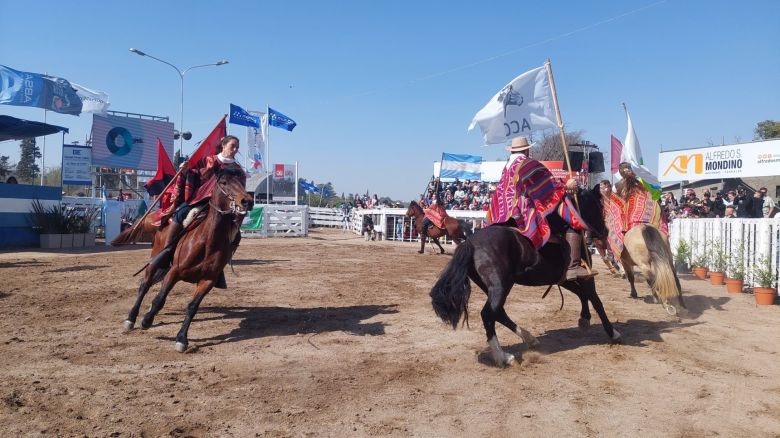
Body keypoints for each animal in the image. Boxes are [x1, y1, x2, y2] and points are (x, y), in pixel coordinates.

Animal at [114, 168, 253, 352]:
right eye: (224, 182)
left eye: (242, 181)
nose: (247, 201)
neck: (208, 241)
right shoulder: (174, 272)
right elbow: (159, 299)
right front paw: (146, 320)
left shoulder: (207, 280)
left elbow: (192, 307)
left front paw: (181, 338)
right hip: (156, 259)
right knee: (144, 285)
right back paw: (131, 318)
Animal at [426, 187, 620, 366]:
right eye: (598, 206)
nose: (604, 232)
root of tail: (470, 242)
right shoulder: (585, 276)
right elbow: (595, 300)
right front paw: (612, 332)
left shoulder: (564, 279)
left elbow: (583, 295)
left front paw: (584, 319)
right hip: (501, 285)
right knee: (488, 314)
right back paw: (503, 357)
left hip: (493, 286)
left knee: (499, 313)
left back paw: (529, 338)